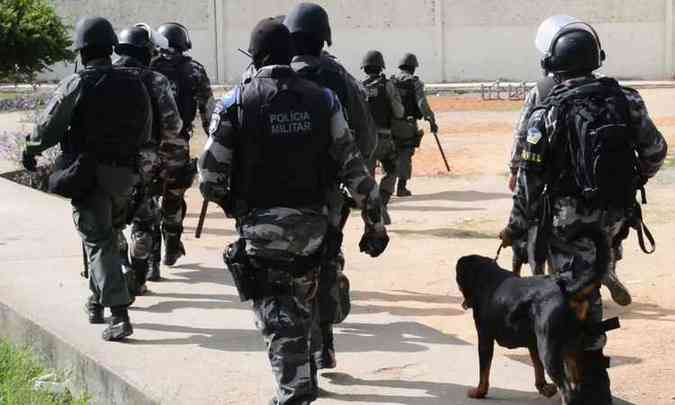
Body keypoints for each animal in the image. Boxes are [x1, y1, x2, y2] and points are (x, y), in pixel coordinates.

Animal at [460, 229, 612, 402]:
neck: (485, 278)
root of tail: (567, 290)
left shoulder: (485, 338)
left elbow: (484, 371)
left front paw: (479, 392)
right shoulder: (533, 342)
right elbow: (537, 366)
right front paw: (544, 387)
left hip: (548, 348)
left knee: (566, 388)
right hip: (572, 346)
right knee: (576, 379)